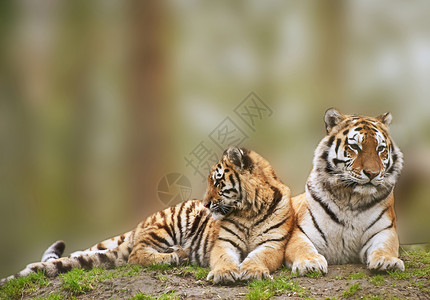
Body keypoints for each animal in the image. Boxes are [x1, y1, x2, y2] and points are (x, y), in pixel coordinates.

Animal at [0, 146, 294, 284]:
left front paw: (253, 271)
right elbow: (223, 259)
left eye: (218, 182)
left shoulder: (273, 245)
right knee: (136, 254)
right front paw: (224, 273)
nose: (206, 203)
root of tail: (141, 224)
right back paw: (176, 255)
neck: (249, 210)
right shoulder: (224, 243)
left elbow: (259, 258)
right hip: (168, 223)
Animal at [286, 109, 404, 276]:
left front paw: (387, 261)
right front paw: (309, 263)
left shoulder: (385, 231)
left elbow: (385, 247)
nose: (372, 173)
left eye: (380, 149)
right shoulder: (302, 232)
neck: (350, 198)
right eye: (355, 147)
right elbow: (302, 247)